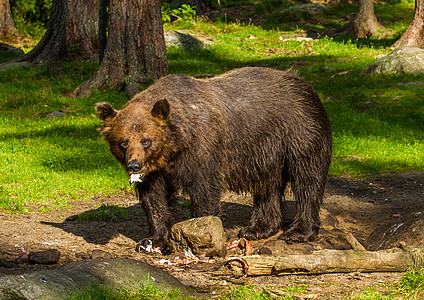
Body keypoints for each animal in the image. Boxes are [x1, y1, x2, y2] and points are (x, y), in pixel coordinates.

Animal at [95, 67, 332, 248]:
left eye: (146, 140)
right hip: (266, 153)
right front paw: (152, 239)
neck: (177, 144)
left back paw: (298, 231)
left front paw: (199, 232)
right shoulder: (156, 170)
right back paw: (257, 228)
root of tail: (307, 86)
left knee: (307, 180)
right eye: (123, 141)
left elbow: (204, 191)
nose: (134, 165)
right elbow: (154, 199)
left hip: (299, 132)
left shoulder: (204, 148)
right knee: (268, 187)